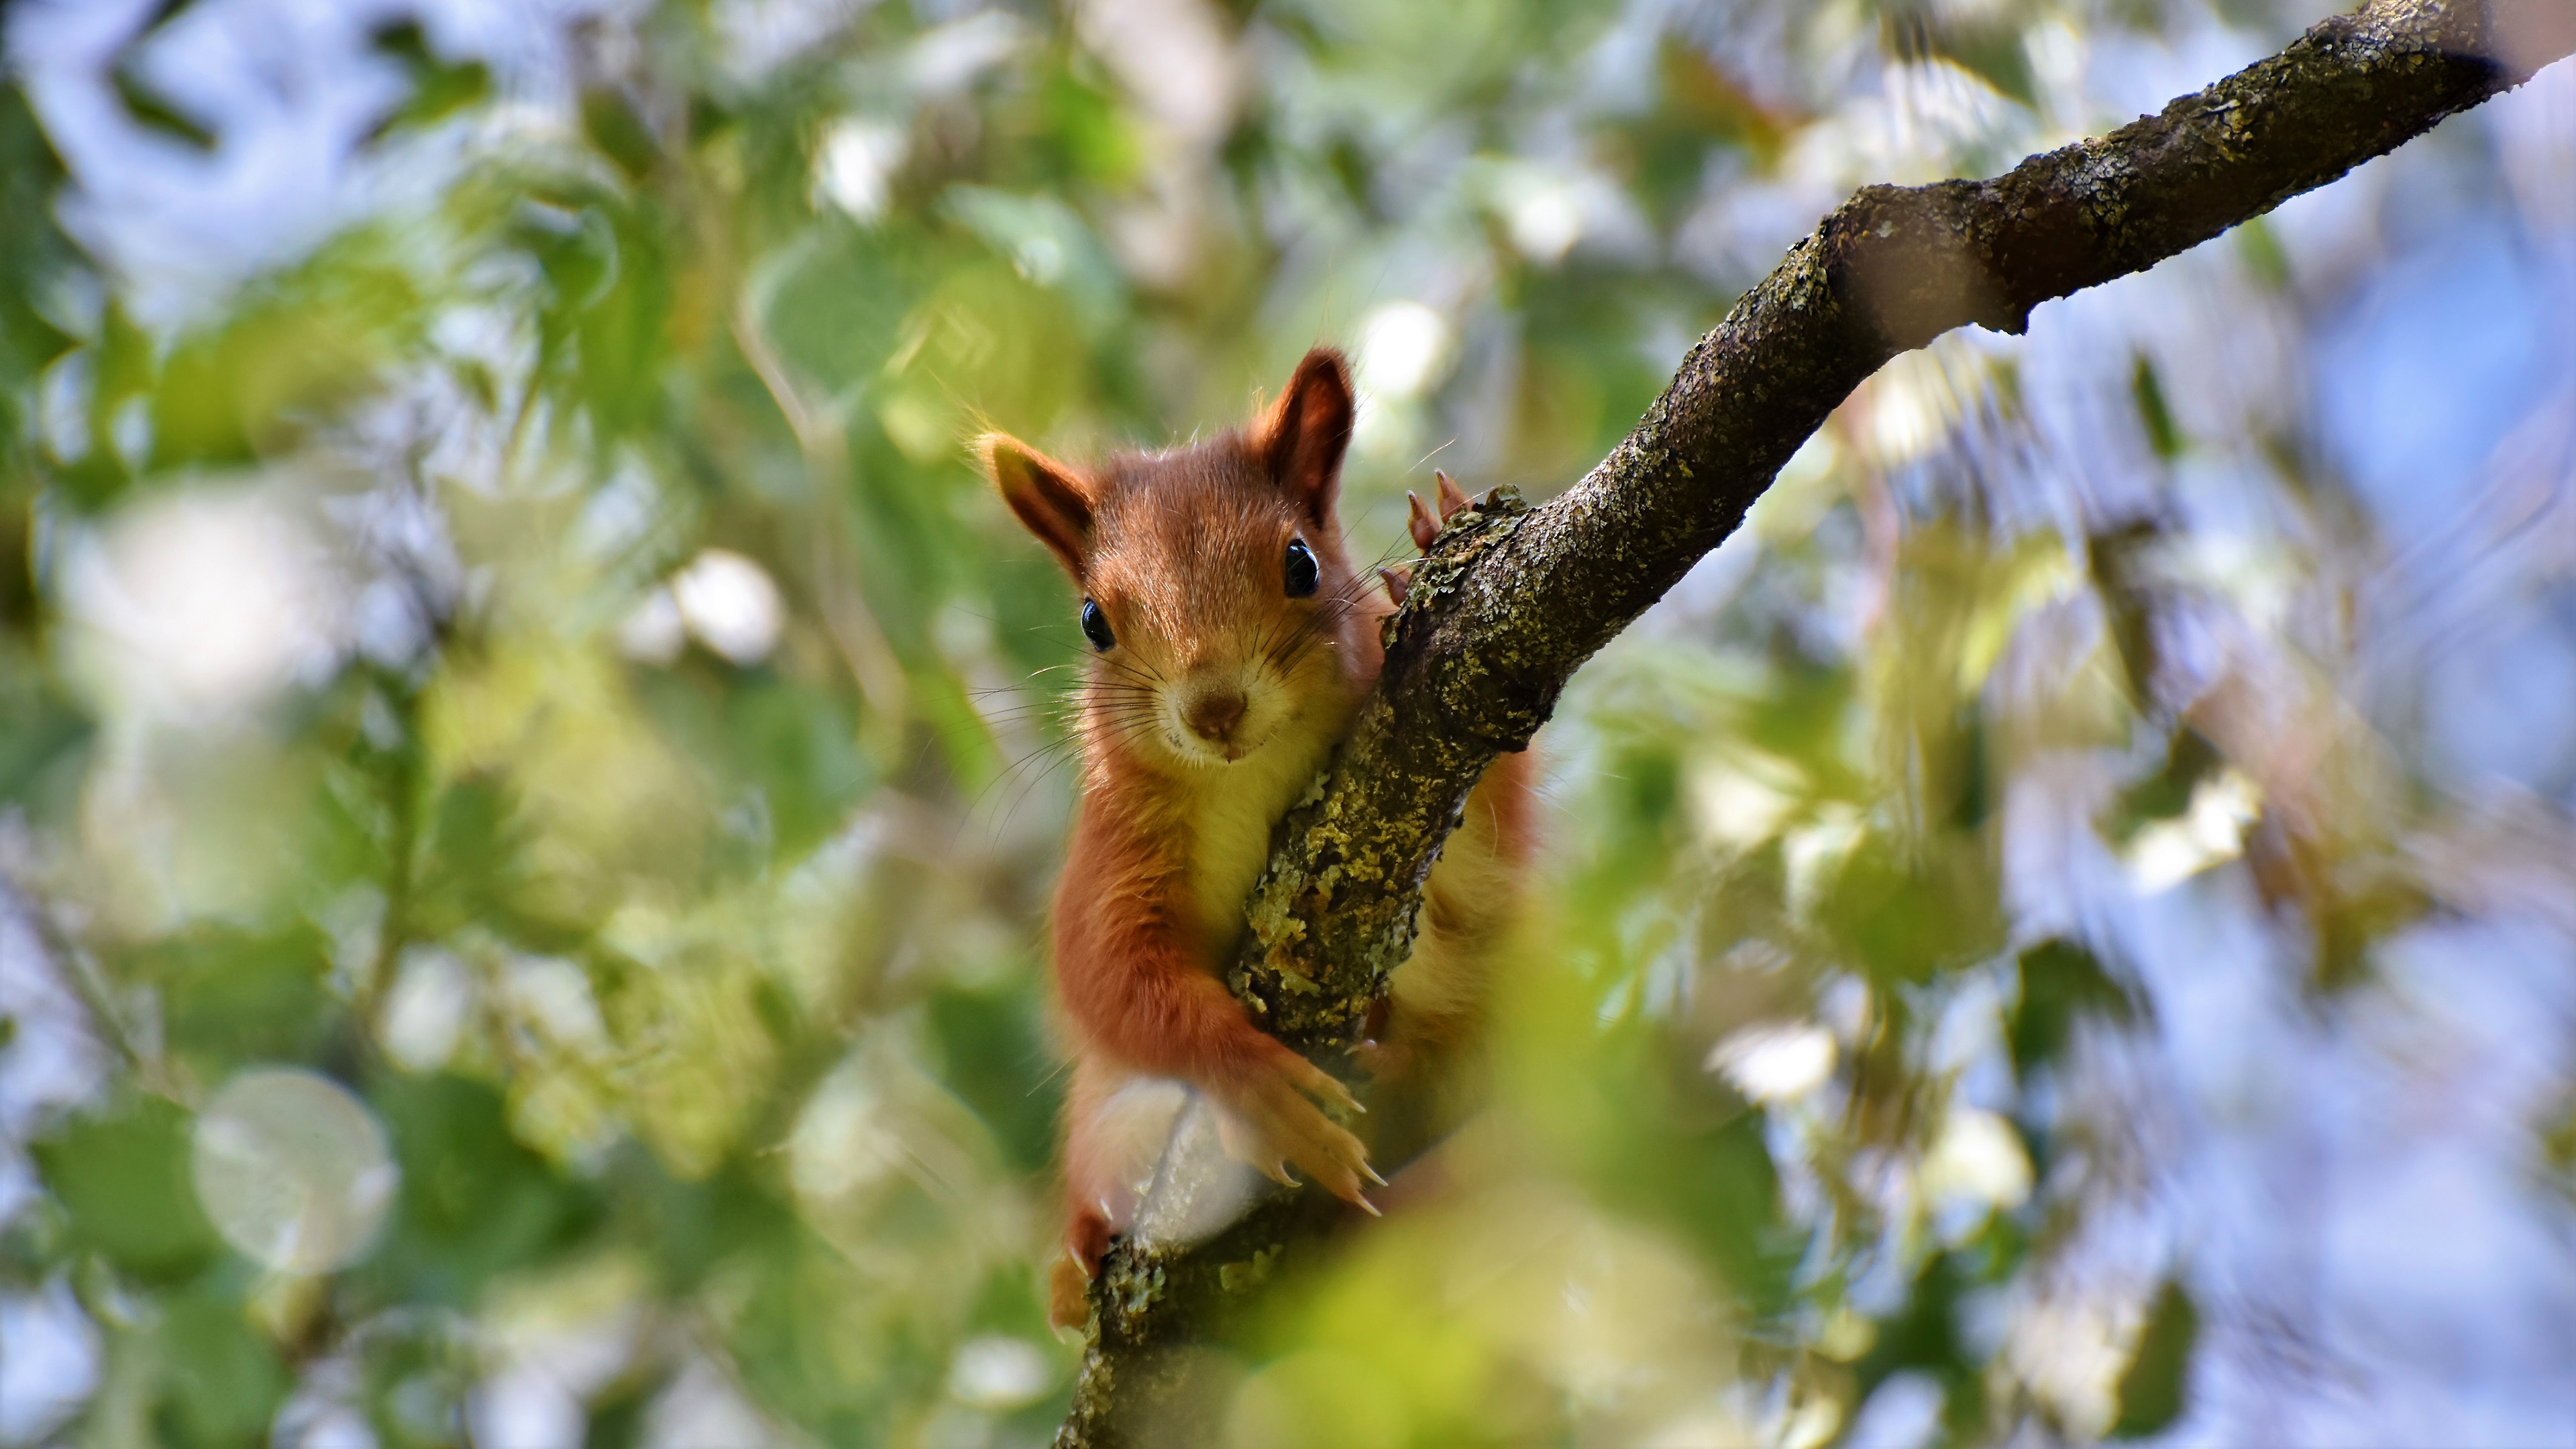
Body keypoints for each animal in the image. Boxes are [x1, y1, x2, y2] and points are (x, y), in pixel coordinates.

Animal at [973, 347, 1514, 1320]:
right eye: (1093, 621)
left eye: (1302, 562)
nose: (1216, 709)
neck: (1246, 771)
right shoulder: (1115, 853)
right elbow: (1111, 976)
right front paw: (1254, 1084)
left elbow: (1482, 856)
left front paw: (1429, 555)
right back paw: (1079, 1260)